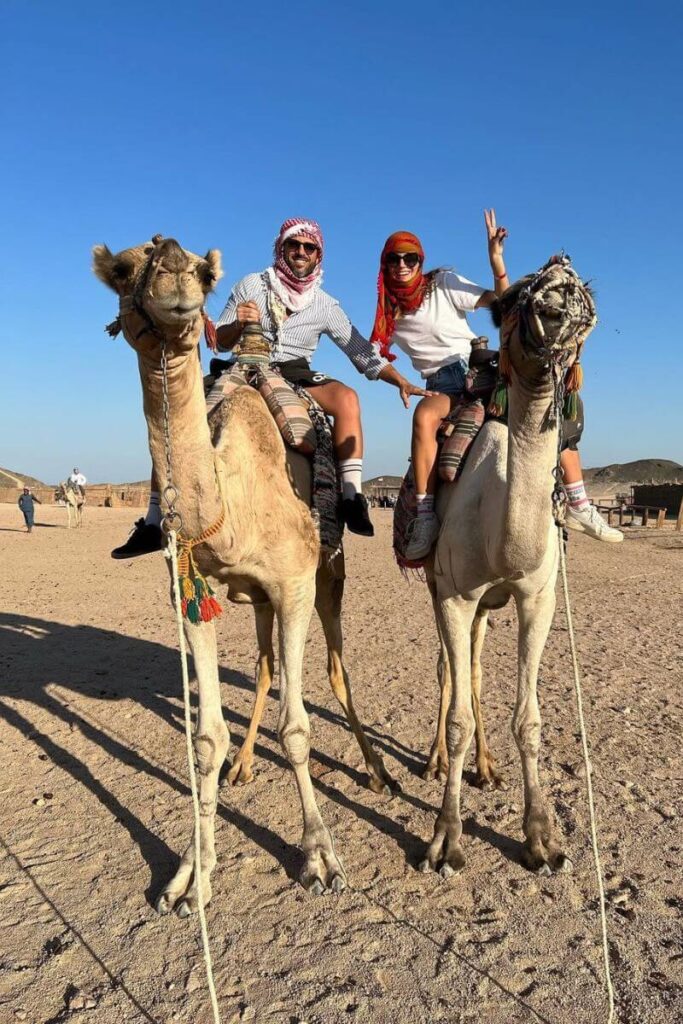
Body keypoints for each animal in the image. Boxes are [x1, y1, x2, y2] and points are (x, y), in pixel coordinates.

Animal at [92, 235, 394, 915]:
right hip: (255, 599)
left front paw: (320, 858)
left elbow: (299, 728)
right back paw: (246, 766)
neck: (230, 505)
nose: (175, 270)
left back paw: (377, 772)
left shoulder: (294, 586)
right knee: (262, 668)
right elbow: (205, 741)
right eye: (124, 269)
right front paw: (190, 877)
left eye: (202, 275)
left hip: (330, 575)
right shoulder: (190, 593)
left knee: (335, 669)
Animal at [419, 257, 596, 878]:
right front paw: (446, 841)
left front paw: (542, 840)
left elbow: (530, 720)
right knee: (449, 670)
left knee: (471, 665)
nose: (561, 281)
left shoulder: (535, 597)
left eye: (582, 285)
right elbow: (456, 717)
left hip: (487, 607)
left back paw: (487, 767)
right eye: (513, 297)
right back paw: (434, 762)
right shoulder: (454, 594)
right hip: (438, 588)